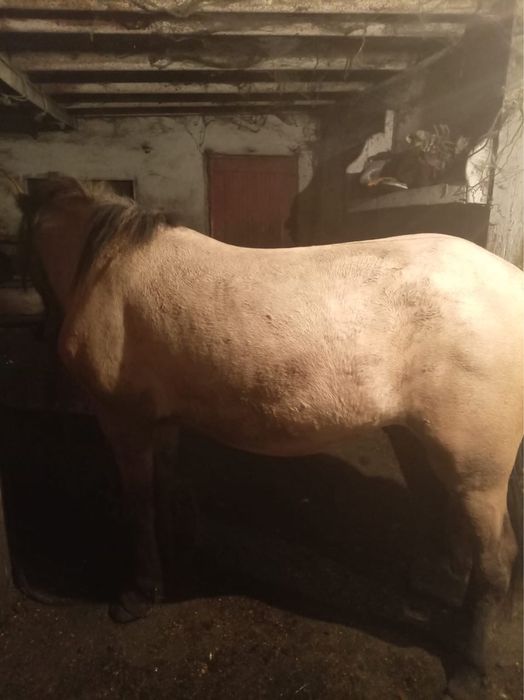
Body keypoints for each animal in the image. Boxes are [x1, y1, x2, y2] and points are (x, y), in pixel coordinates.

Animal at [15, 174, 523, 699]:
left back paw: (469, 669)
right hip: (426, 447)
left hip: (478, 476)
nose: (42, 330)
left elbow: (137, 502)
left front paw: (138, 592)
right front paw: (177, 548)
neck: (108, 271)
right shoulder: (162, 421)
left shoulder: (123, 421)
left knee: (496, 561)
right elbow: (165, 484)